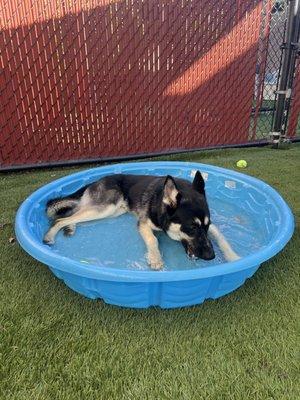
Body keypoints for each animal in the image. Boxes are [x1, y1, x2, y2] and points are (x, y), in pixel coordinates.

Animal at [43, 171, 239, 268]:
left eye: (205, 226)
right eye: (191, 227)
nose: (211, 256)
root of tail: (95, 181)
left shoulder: (212, 226)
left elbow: (222, 239)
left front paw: (234, 257)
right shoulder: (143, 224)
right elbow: (152, 239)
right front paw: (155, 258)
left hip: (110, 211)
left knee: (72, 214)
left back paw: (70, 228)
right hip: (106, 207)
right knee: (60, 219)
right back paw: (50, 235)